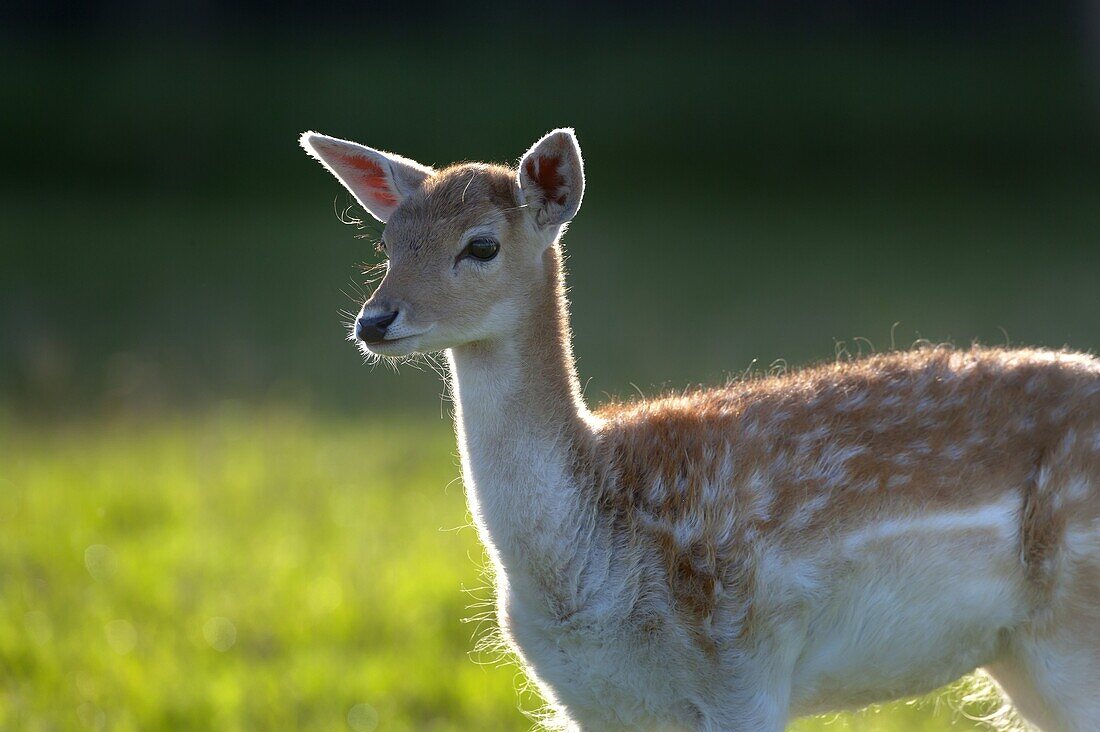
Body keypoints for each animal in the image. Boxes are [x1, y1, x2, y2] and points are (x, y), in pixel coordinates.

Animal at [301, 128, 1100, 726]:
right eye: (389, 243)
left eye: (481, 245)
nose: (374, 320)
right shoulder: (588, 699)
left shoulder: (743, 658)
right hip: (1020, 657)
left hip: (1071, 636)